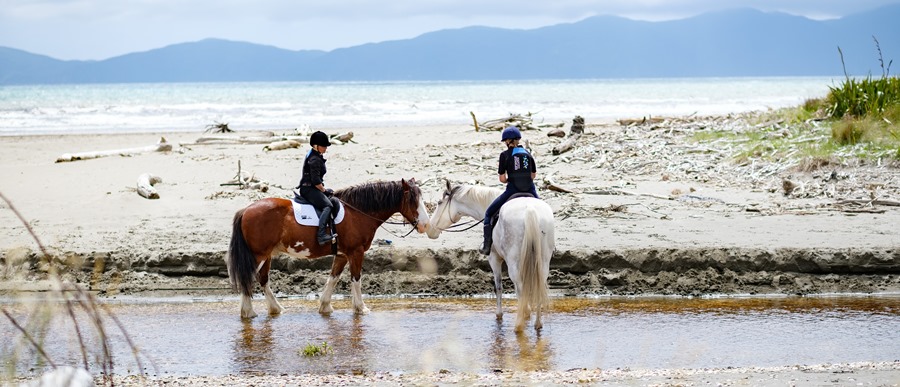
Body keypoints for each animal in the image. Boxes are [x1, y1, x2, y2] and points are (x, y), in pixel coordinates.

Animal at [229, 179, 432, 318]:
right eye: (412, 200)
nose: (425, 225)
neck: (357, 212)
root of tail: (246, 210)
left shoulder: (342, 255)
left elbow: (333, 278)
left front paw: (325, 306)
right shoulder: (356, 252)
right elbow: (356, 279)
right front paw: (361, 308)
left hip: (267, 255)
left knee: (263, 280)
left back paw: (275, 309)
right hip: (258, 255)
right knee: (248, 279)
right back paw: (248, 312)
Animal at [426, 180, 552, 332]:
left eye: (439, 203)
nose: (429, 228)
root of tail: (530, 210)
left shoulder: (494, 259)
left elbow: (498, 287)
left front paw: (500, 314)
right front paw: (526, 313)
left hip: (514, 263)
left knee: (520, 288)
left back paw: (518, 325)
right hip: (543, 261)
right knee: (539, 285)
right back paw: (537, 324)